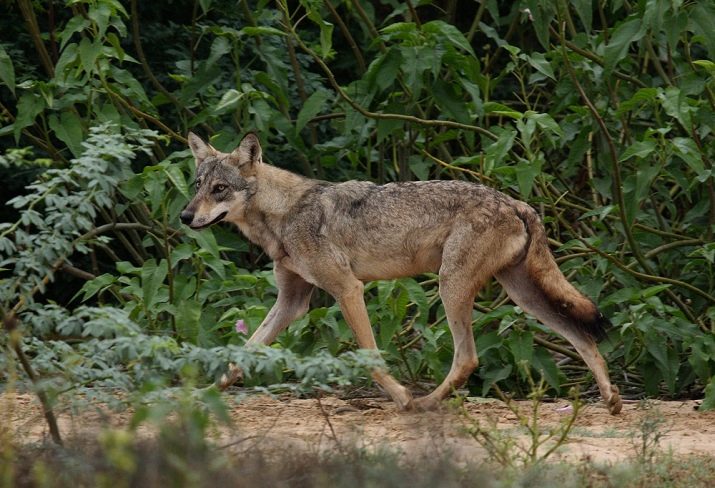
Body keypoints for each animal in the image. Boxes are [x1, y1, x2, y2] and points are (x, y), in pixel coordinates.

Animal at [182, 132, 624, 414]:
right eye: (197, 184)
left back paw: (424, 404)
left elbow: (371, 359)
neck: (284, 214)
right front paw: (201, 395)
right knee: (583, 336)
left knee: (468, 359)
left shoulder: (348, 289)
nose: (185, 217)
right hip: (522, 296)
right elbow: (239, 357)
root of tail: (518, 202)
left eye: (220, 189)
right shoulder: (292, 302)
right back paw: (611, 399)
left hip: (452, 288)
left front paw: (400, 398)